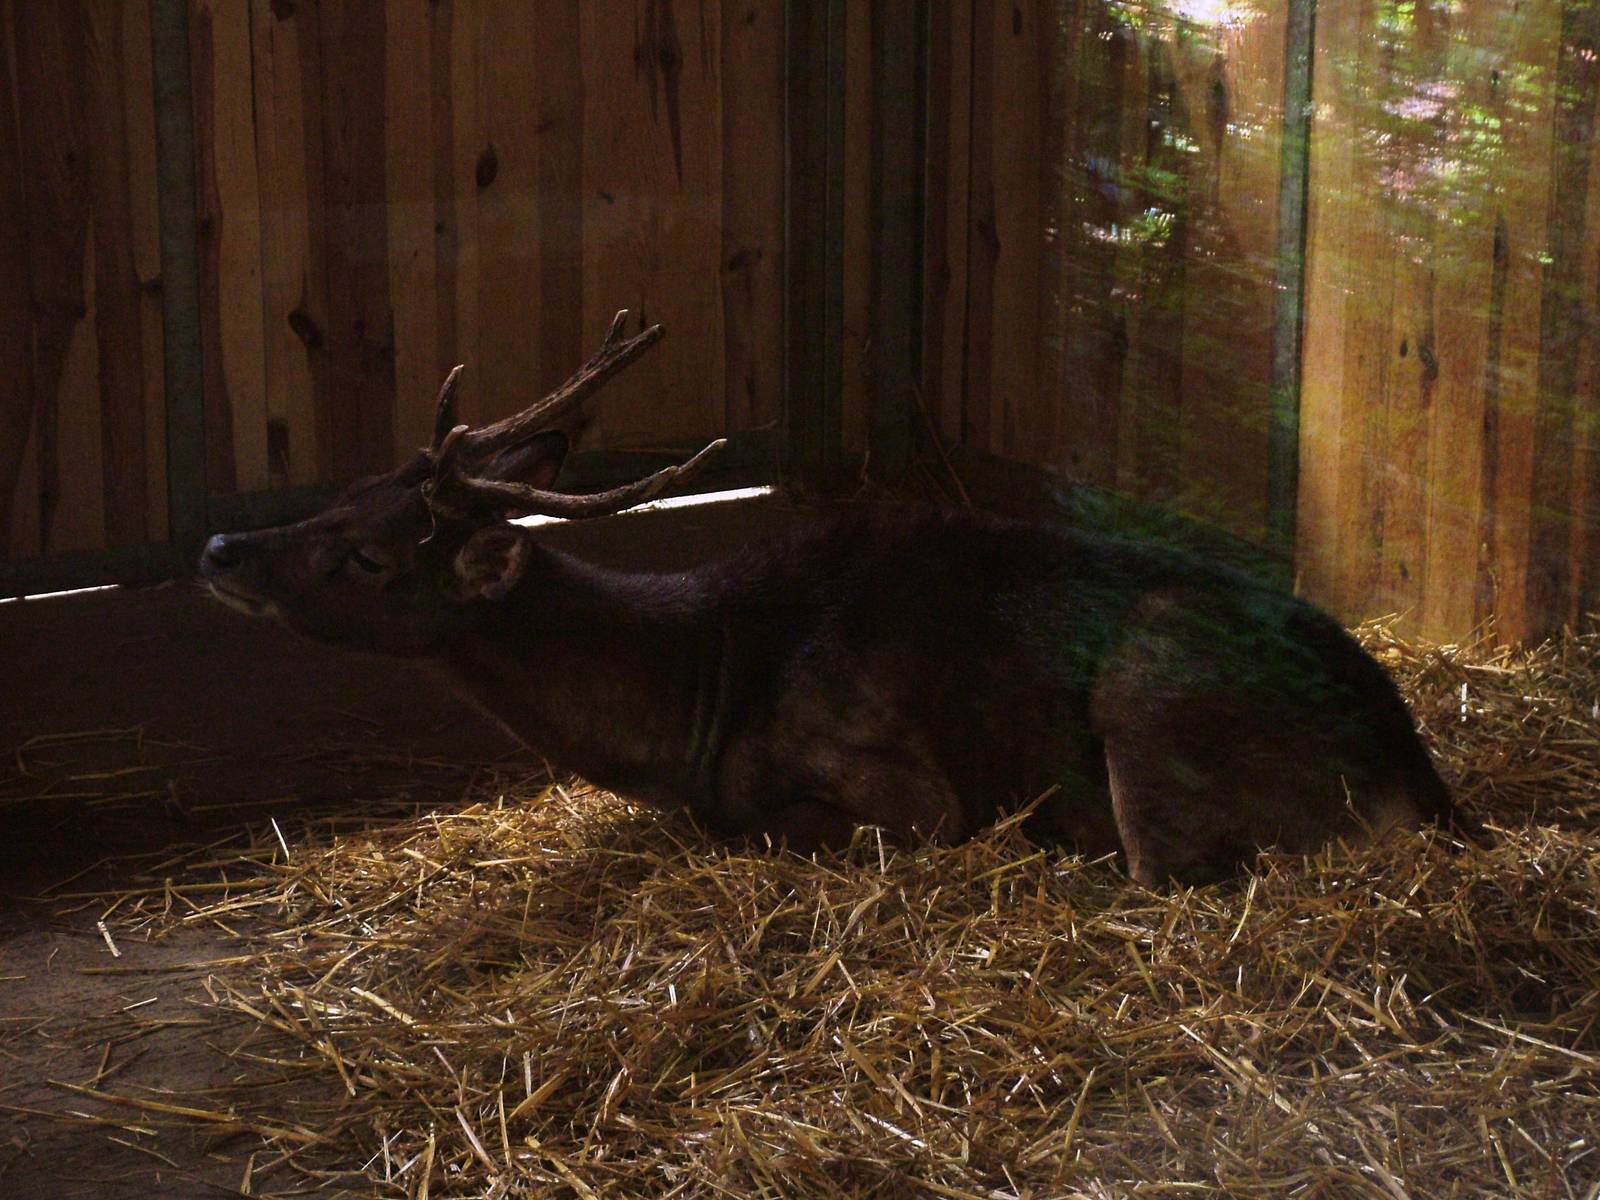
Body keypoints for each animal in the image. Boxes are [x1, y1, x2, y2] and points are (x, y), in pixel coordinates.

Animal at [200, 312, 1475, 887]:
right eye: (344, 492)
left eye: (368, 553)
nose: (220, 546)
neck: (696, 694)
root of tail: (1416, 775)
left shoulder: (898, 786)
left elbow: (775, 826)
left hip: (1155, 706)